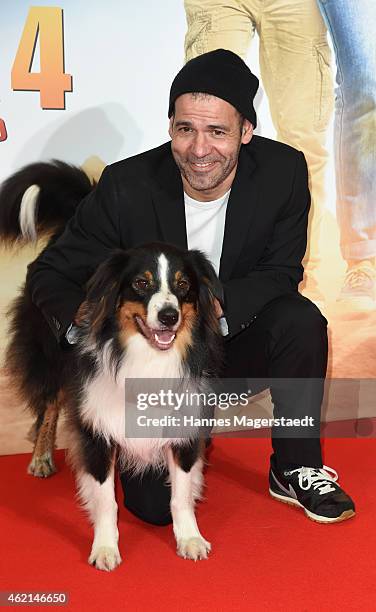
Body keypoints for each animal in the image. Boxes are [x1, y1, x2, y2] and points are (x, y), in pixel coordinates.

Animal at [0, 161, 223, 568]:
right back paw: (41, 457)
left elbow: (181, 493)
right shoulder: (97, 426)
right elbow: (106, 499)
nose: (168, 316)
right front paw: (105, 548)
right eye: (141, 283)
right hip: (51, 353)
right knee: (49, 404)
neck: (148, 356)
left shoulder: (184, 422)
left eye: (183, 285)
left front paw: (190, 538)